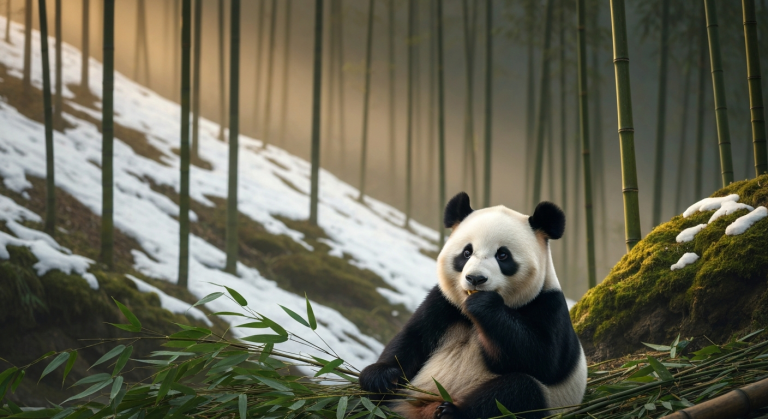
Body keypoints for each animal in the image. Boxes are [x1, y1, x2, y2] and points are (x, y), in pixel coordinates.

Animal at [359, 192, 587, 419]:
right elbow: (412, 339)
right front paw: (381, 377)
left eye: (502, 255)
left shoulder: (549, 305)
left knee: (518, 391)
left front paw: (483, 304)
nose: (475, 278)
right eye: (466, 252)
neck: (472, 320)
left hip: (541, 402)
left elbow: (545, 359)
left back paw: (451, 412)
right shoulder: (444, 303)